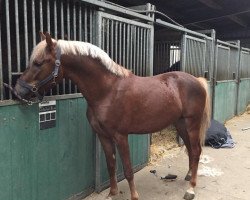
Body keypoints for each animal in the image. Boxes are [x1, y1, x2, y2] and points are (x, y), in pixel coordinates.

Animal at [13, 33, 209, 200]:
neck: (107, 91)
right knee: (190, 149)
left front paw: (134, 196)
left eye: (39, 63)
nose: (17, 91)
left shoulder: (121, 136)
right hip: (180, 124)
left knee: (196, 150)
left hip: (192, 123)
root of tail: (197, 81)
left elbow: (128, 170)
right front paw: (112, 193)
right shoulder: (103, 135)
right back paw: (188, 176)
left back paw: (191, 189)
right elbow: (111, 165)